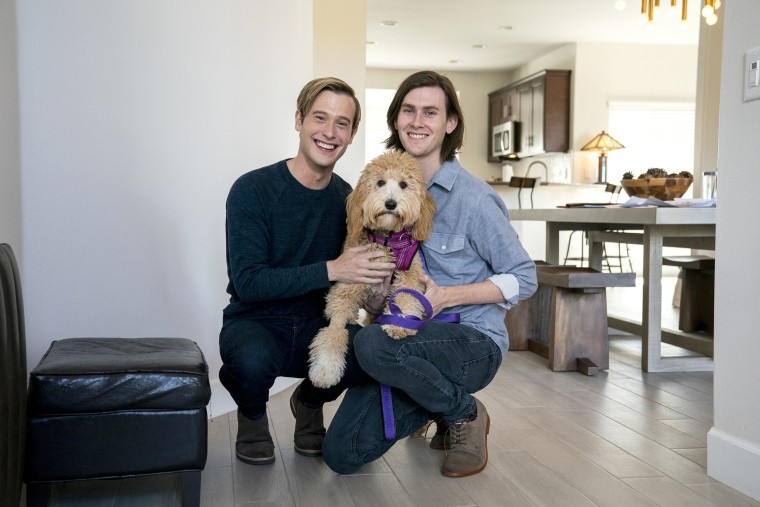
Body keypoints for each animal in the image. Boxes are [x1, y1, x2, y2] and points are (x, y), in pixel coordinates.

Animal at [308, 151, 436, 388]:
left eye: (403, 184)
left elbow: (405, 297)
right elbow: (334, 331)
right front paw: (325, 370)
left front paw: (399, 324)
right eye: (380, 183)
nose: (391, 203)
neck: (387, 240)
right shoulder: (347, 287)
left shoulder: (410, 276)